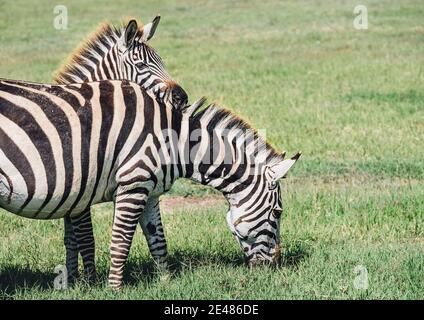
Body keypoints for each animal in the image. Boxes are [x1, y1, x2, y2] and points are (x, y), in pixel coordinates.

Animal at [0, 78, 300, 290]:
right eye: (278, 213)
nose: (275, 265)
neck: (176, 142)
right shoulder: (133, 184)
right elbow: (121, 241)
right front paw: (114, 290)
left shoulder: (151, 191)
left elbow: (158, 240)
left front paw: (166, 283)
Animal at [51, 15, 187, 280]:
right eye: (142, 66)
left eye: (162, 62)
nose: (182, 98)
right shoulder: (79, 186)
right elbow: (83, 237)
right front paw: (88, 280)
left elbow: (70, 238)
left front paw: (73, 279)